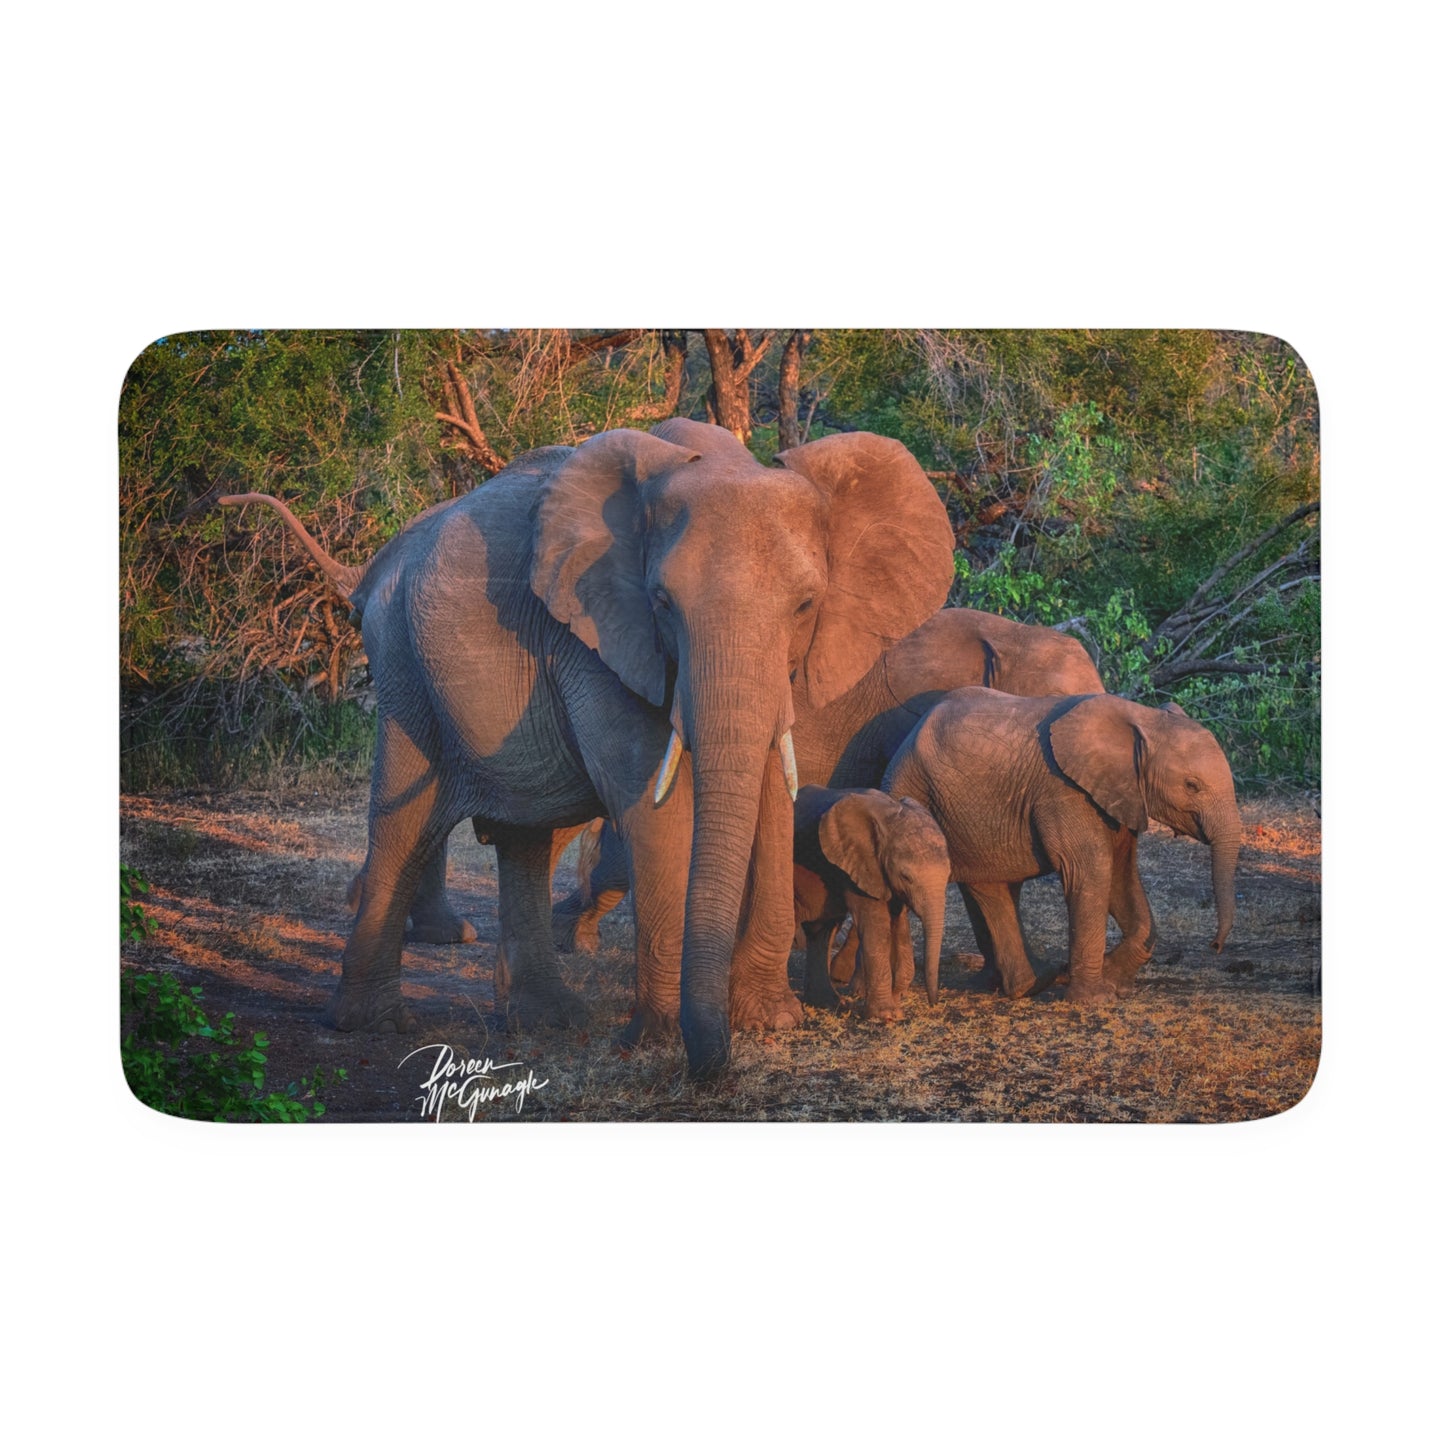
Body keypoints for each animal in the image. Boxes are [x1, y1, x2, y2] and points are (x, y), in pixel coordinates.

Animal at [792, 786, 951, 1021]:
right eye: (906, 877)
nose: (934, 1004)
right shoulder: (858, 866)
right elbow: (876, 925)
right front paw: (887, 1016)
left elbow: (899, 924)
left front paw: (896, 1004)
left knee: (821, 931)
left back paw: (829, 1003)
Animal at [881, 688, 1242, 1005]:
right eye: (1192, 785)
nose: (1215, 945)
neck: (1142, 717)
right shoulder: (1065, 791)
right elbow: (1091, 870)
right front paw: (1094, 999)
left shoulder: (1121, 795)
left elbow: (1121, 875)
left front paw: (1114, 982)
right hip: (923, 794)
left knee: (991, 887)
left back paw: (1032, 981)